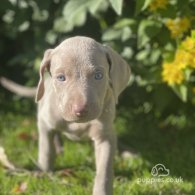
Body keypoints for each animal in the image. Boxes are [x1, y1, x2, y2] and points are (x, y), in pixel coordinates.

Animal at [1, 36, 130, 195]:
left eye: (99, 75)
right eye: (61, 78)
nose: (80, 109)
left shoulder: (104, 136)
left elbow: (104, 169)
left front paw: (101, 190)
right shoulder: (44, 121)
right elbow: (45, 149)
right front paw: (43, 171)